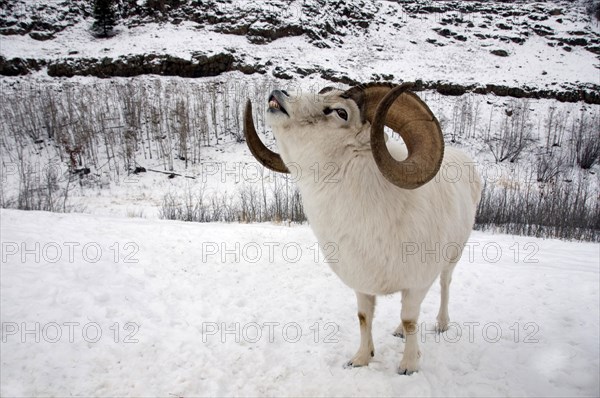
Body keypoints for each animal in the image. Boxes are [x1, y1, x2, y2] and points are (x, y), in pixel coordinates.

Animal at [244, 82, 482, 374]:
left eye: (340, 112)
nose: (278, 94)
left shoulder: (417, 283)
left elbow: (410, 320)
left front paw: (408, 366)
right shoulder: (362, 285)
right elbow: (364, 318)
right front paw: (360, 359)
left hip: (451, 259)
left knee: (445, 286)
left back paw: (441, 325)